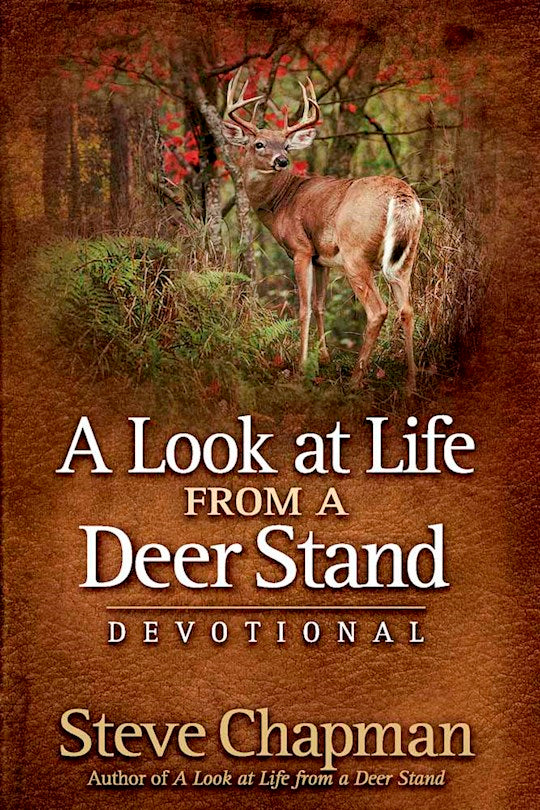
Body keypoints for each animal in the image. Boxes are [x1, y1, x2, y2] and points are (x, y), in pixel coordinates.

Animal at [221, 71, 423, 394]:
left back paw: (356, 379)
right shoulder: (322, 257)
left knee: (377, 310)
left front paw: (302, 366)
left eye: (286, 146)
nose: (282, 161)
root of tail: (401, 194)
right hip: (407, 255)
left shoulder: (301, 249)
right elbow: (319, 305)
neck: (281, 202)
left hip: (356, 254)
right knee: (407, 309)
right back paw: (411, 383)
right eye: (260, 144)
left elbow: (303, 307)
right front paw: (324, 357)